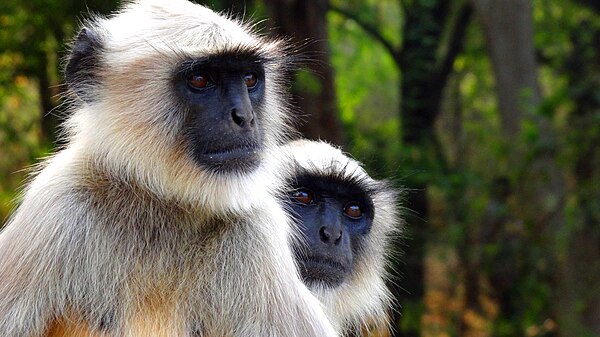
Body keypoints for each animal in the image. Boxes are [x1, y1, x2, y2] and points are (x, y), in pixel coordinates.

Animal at [0, 1, 338, 334]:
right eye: (200, 80)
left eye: (249, 79)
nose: (245, 117)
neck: (163, 208)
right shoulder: (54, 206)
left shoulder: (258, 230)